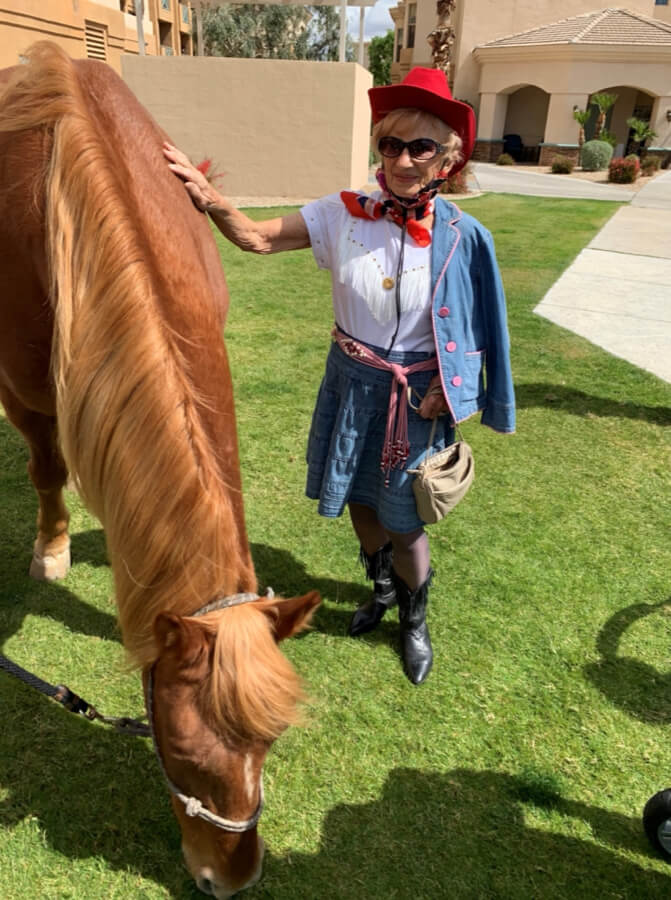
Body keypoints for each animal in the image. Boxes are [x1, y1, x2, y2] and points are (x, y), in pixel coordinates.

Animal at [0, 38, 322, 896]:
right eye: (179, 754)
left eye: (270, 745)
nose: (230, 879)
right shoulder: (24, 389)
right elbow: (46, 468)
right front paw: (51, 548)